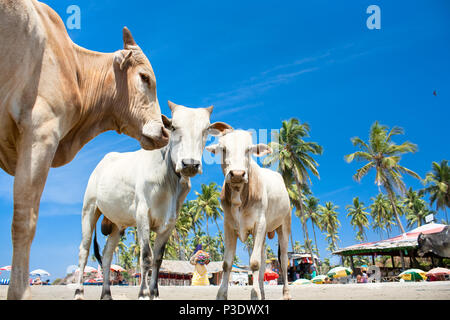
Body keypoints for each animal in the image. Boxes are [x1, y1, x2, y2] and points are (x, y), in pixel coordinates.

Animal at [74, 102, 232, 300]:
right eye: (173, 127)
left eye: (205, 130)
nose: (189, 164)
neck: (169, 179)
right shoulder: (143, 216)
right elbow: (146, 257)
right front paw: (143, 293)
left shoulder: (170, 223)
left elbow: (158, 258)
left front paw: (154, 293)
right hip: (89, 209)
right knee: (84, 251)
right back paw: (79, 292)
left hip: (117, 224)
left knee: (107, 255)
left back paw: (106, 294)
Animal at [207, 130, 292, 300]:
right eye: (223, 149)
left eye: (248, 150)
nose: (237, 174)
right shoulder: (228, 226)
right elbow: (227, 264)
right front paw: (222, 294)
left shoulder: (259, 224)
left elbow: (254, 263)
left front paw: (254, 294)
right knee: (264, 259)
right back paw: (263, 293)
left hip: (284, 225)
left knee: (283, 259)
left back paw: (285, 293)